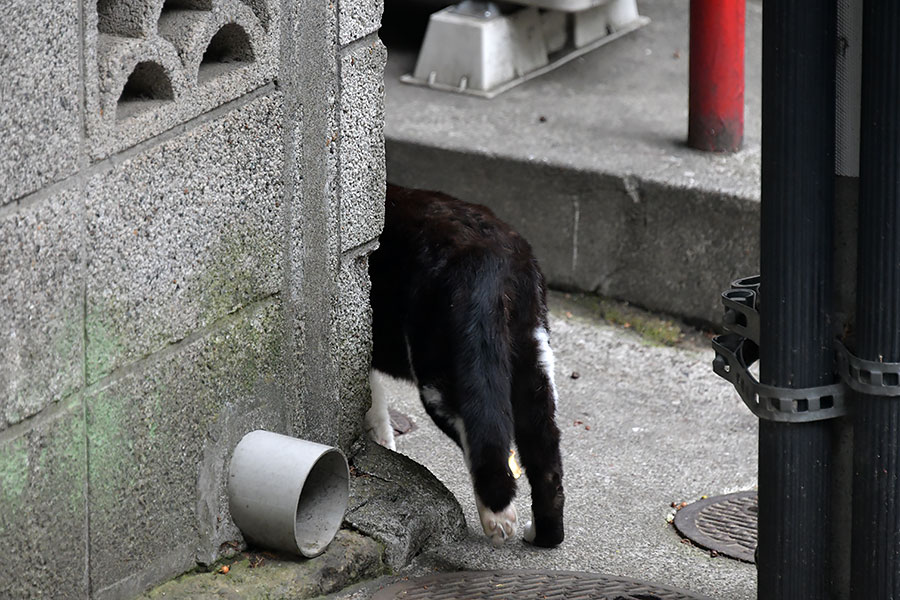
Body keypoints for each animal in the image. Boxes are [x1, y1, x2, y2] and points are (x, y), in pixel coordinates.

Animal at [364, 183, 564, 548]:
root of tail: (493, 256)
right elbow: (375, 404)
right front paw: (383, 443)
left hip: (441, 372)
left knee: (484, 437)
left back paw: (498, 519)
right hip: (532, 356)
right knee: (545, 453)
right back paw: (543, 535)